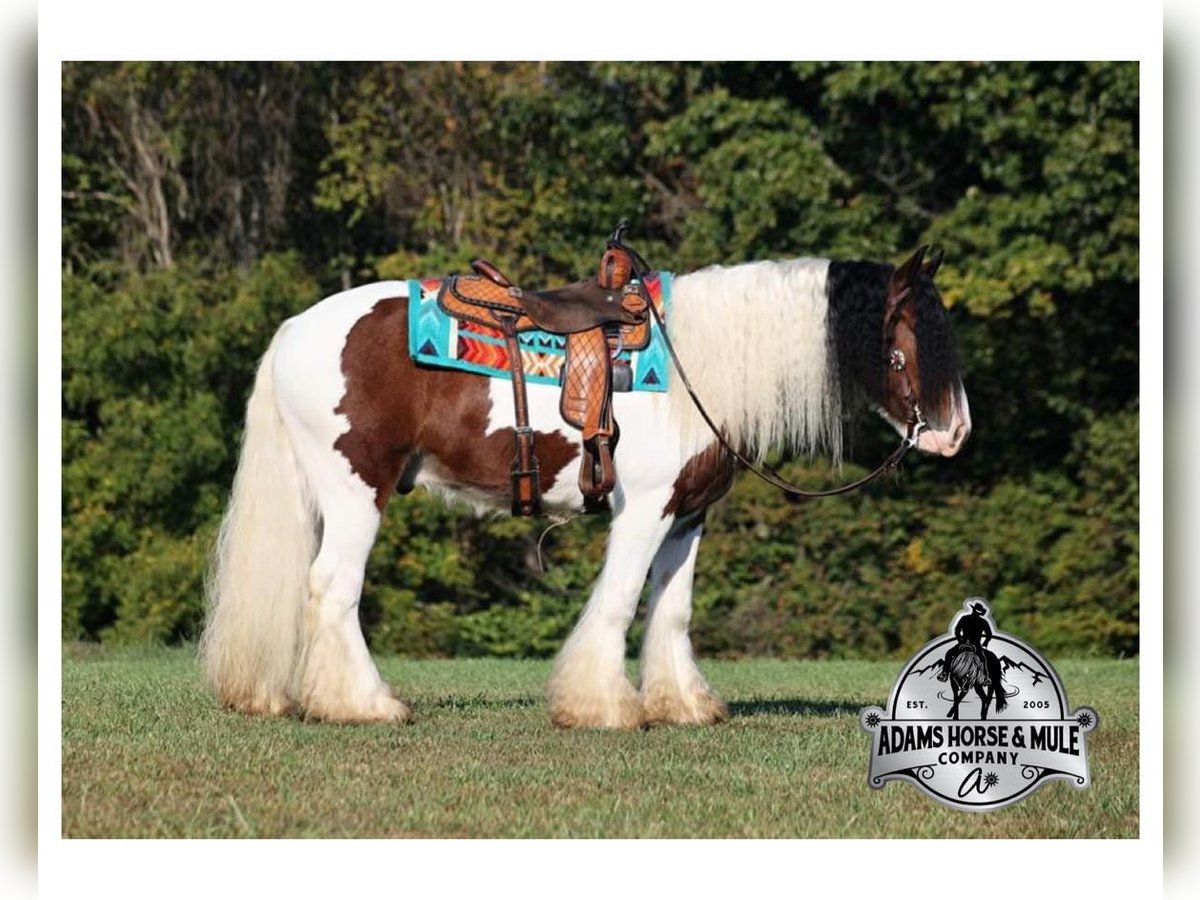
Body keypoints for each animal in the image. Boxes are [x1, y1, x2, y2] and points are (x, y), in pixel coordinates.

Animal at [196, 247, 964, 734]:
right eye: (903, 348)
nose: (954, 434)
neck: (697, 369)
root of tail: (295, 330)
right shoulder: (644, 510)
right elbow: (620, 602)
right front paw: (600, 706)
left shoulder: (688, 517)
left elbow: (672, 611)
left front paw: (685, 706)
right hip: (358, 492)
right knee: (333, 588)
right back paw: (365, 705)